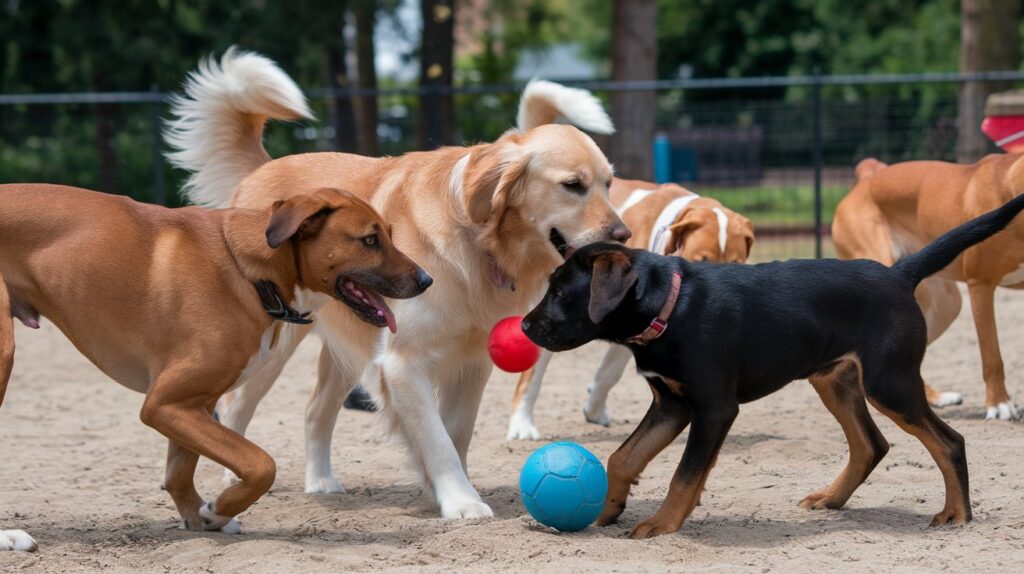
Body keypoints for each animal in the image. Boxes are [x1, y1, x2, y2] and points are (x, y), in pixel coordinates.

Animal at [524, 191, 1024, 536]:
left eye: (561, 292)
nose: (526, 326)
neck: (672, 305)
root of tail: (899, 274)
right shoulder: (672, 404)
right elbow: (624, 456)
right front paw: (608, 509)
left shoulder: (713, 408)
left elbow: (685, 475)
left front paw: (662, 525)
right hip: (835, 380)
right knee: (871, 445)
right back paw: (831, 499)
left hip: (890, 382)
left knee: (949, 440)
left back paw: (956, 513)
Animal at [831, 154, 1024, 419]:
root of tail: (868, 177)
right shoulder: (981, 285)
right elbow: (992, 355)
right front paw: (999, 404)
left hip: (942, 305)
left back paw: (935, 398)